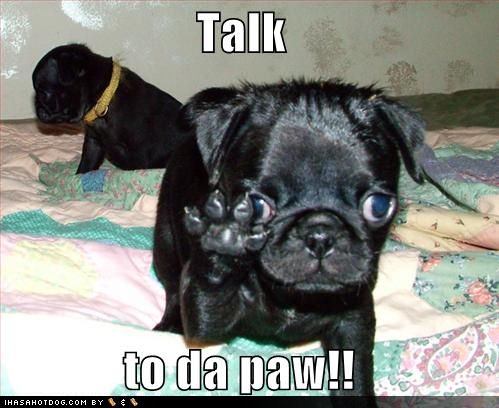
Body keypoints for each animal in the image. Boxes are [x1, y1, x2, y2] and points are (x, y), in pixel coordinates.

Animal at [32, 44, 183, 173]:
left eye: (43, 93)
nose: (37, 110)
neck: (103, 99)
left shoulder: (140, 151)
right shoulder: (93, 144)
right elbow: (85, 166)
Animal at [153, 80, 425, 402]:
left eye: (379, 206)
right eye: (257, 206)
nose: (320, 233)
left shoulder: (353, 322)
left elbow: (355, 377)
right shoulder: (208, 321)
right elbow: (209, 291)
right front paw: (223, 238)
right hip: (165, 242)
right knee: (172, 285)